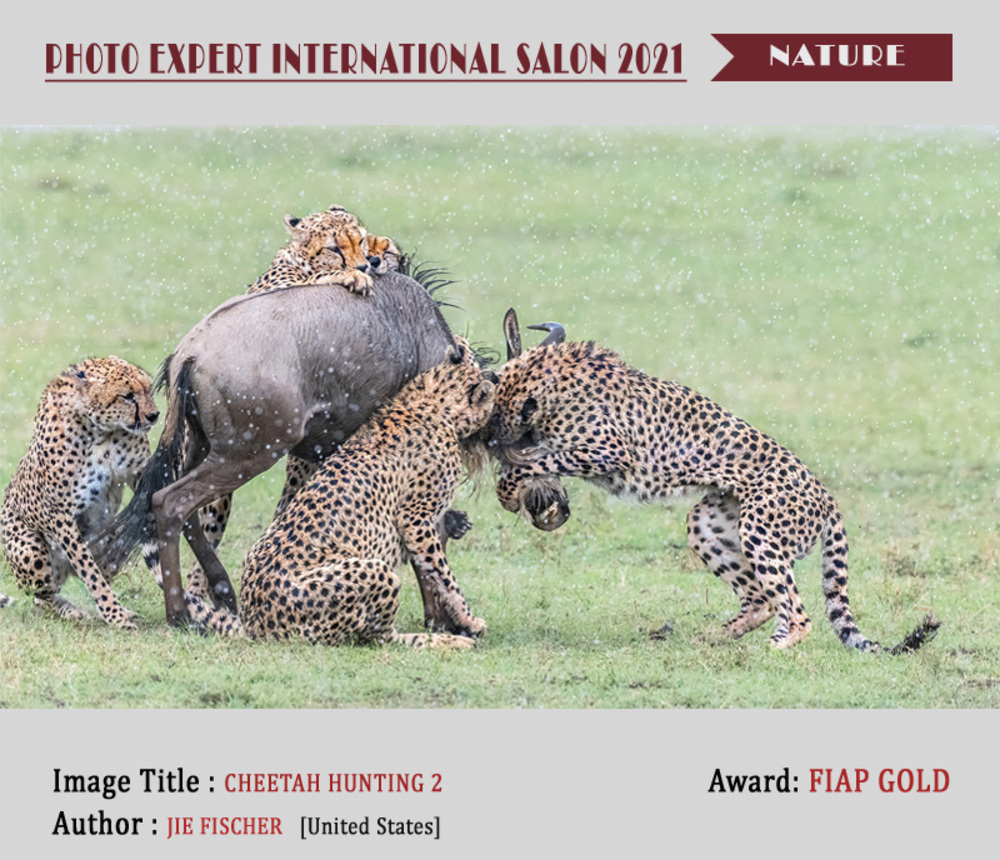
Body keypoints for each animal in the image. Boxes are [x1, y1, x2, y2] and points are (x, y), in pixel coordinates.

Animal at [0, 357, 159, 628]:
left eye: (148, 389)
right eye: (127, 396)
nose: (154, 415)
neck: (100, 431)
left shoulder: (140, 476)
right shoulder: (60, 514)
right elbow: (90, 571)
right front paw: (114, 615)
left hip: (112, 537)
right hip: (31, 549)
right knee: (42, 596)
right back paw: (71, 611)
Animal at [184, 337, 493, 648]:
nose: (465, 344)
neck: (430, 397)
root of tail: (254, 623)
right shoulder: (414, 519)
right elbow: (443, 573)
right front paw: (469, 620)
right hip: (374, 571)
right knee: (383, 637)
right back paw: (448, 642)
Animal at [487, 310, 940, 654]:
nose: (488, 434)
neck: (547, 380)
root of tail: (828, 498)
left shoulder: (608, 451)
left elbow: (536, 461)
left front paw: (510, 490)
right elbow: (536, 460)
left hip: (760, 530)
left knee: (798, 613)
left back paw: (772, 647)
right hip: (708, 523)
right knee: (761, 601)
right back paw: (712, 638)